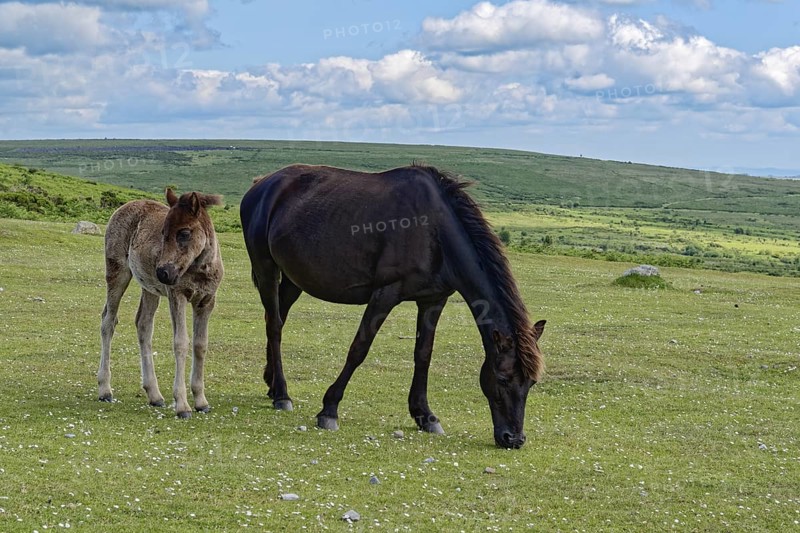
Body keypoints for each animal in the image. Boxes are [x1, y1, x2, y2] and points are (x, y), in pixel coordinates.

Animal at [97, 189, 224, 419]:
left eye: (184, 233)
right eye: (163, 233)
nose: (163, 272)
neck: (199, 270)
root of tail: (123, 206)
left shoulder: (206, 301)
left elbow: (200, 345)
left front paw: (201, 401)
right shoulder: (177, 296)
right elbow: (181, 342)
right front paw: (182, 405)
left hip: (149, 289)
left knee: (143, 325)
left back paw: (154, 395)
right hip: (118, 273)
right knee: (108, 321)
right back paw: (105, 390)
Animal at [240, 163, 545, 449]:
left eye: (531, 382)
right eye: (503, 378)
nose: (513, 439)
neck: (434, 231)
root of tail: (262, 184)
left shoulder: (433, 300)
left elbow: (423, 354)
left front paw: (425, 415)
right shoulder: (384, 295)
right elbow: (359, 349)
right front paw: (329, 409)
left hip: (294, 279)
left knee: (277, 318)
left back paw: (271, 385)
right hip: (267, 269)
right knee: (275, 326)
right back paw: (282, 394)